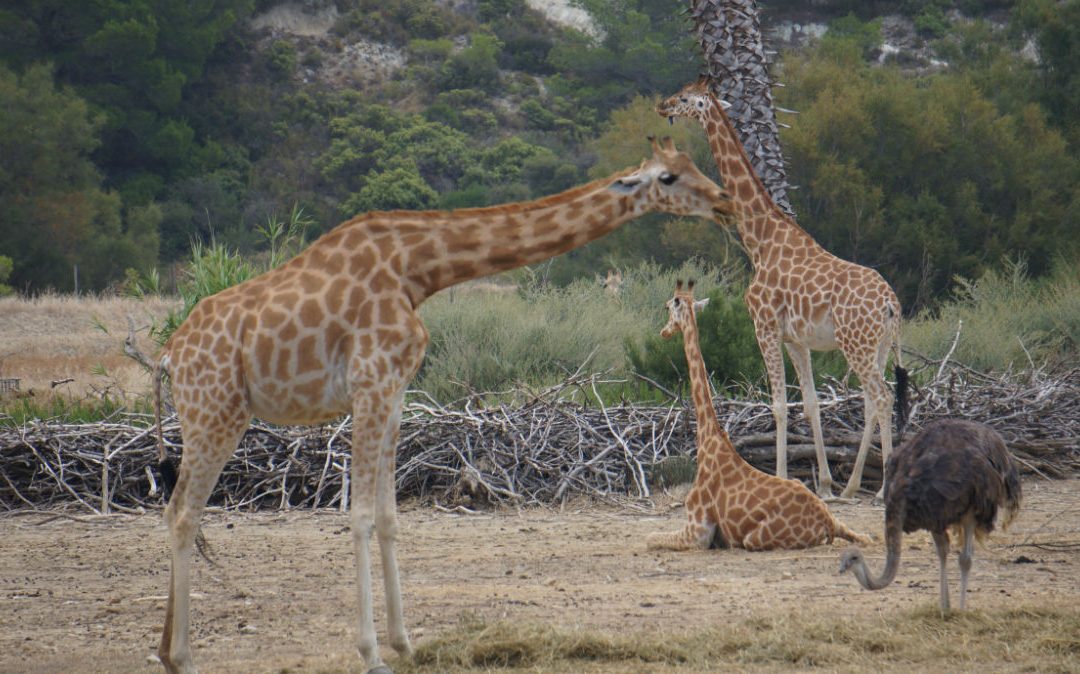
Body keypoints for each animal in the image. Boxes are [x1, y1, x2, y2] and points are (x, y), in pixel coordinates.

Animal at [152, 138, 738, 674]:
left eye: (694, 164)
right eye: (668, 177)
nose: (725, 200)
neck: (417, 269)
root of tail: (169, 355)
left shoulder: (393, 394)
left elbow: (388, 517)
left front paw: (404, 644)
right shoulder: (370, 384)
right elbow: (359, 516)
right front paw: (371, 654)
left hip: (212, 414)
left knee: (177, 509)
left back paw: (165, 652)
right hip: (216, 411)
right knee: (182, 512)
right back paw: (182, 658)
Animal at [639, 280, 868, 550]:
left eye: (667, 307)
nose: (664, 332)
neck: (708, 439)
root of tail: (825, 522)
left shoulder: (698, 530)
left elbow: (649, 537)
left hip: (753, 538)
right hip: (830, 514)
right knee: (864, 535)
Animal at [652, 78, 907, 501]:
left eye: (686, 97)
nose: (662, 105)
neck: (760, 238)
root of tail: (891, 304)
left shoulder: (764, 327)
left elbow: (778, 405)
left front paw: (785, 477)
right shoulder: (796, 340)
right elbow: (810, 403)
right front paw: (824, 483)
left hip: (855, 343)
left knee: (883, 396)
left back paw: (884, 488)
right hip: (880, 345)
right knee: (874, 400)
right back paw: (854, 484)